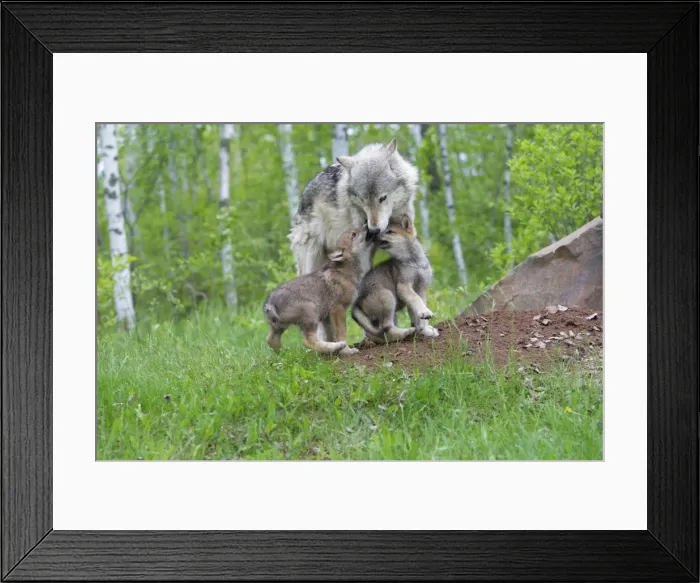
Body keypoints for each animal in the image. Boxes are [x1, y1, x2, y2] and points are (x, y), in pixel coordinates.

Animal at [264, 225, 373, 356]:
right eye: (354, 234)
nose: (367, 225)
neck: (345, 271)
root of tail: (270, 303)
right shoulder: (338, 308)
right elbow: (342, 333)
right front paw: (347, 350)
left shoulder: (327, 315)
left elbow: (332, 333)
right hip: (311, 314)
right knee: (308, 341)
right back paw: (336, 346)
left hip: (280, 326)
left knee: (271, 340)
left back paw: (287, 352)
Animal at [352, 214, 439, 343]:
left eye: (390, 232)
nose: (370, 234)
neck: (413, 262)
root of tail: (356, 305)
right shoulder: (404, 286)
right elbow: (416, 299)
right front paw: (425, 313)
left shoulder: (421, 289)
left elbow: (419, 316)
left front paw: (426, 330)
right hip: (388, 297)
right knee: (386, 329)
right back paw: (406, 332)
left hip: (391, 313)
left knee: (377, 333)